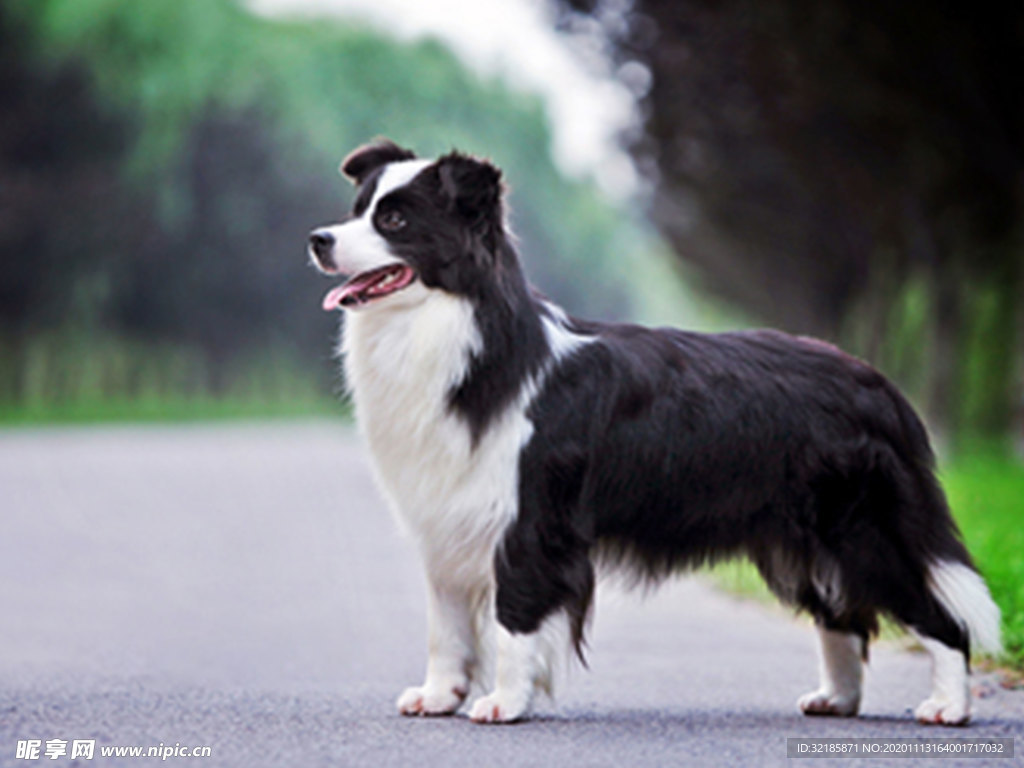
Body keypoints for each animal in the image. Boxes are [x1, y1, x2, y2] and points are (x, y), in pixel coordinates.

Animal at [309, 141, 999, 724]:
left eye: (395, 221)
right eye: (357, 210)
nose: (318, 239)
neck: (457, 329)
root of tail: (879, 385)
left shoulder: (529, 519)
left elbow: (514, 619)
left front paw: (504, 703)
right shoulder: (448, 515)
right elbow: (446, 624)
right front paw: (439, 695)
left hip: (861, 526)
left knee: (938, 614)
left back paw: (949, 707)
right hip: (804, 539)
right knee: (844, 617)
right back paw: (837, 700)